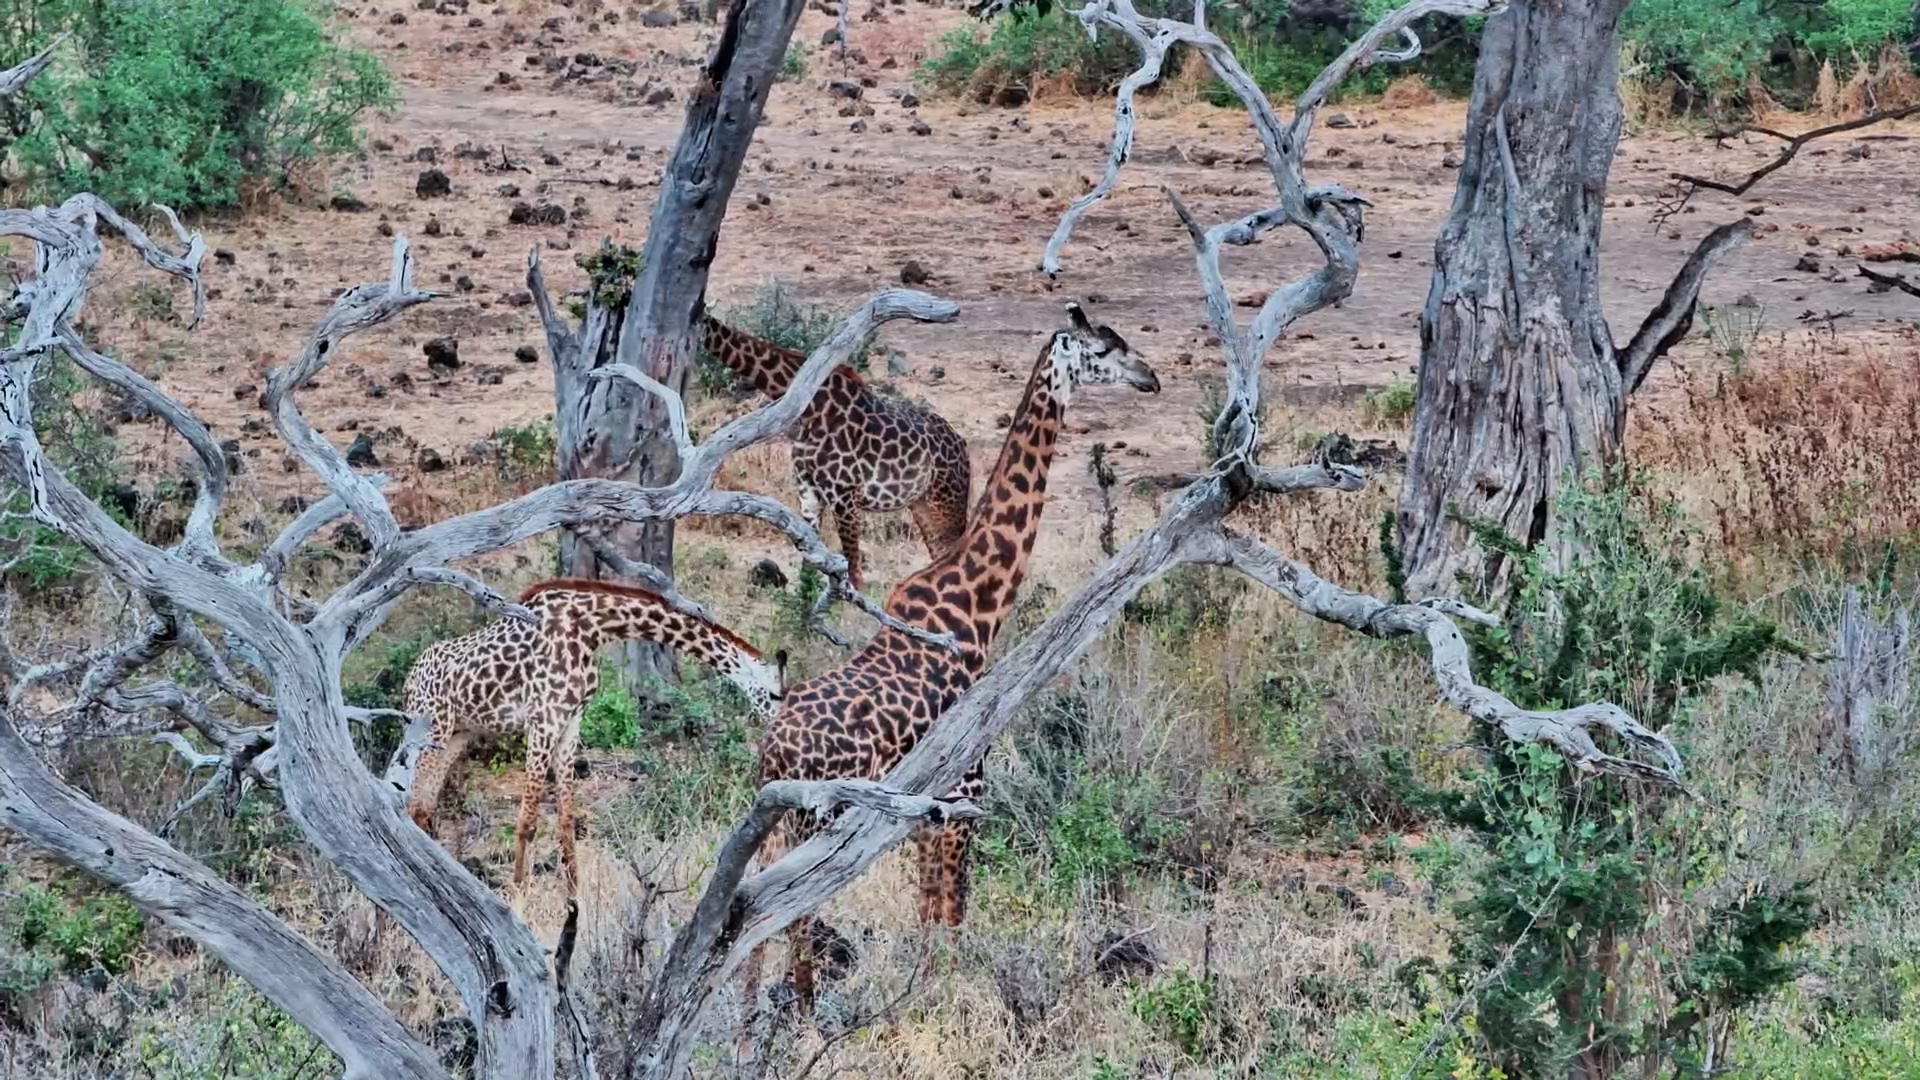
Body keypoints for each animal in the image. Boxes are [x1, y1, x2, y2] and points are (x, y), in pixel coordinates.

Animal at [401, 578, 786, 889]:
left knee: (422, 807)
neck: (590, 628)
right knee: (411, 804)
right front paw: (518, 897)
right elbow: (527, 821)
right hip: (432, 727)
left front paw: (575, 901)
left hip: (457, 734)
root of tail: (409, 680)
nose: (777, 725)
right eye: (774, 694)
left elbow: (566, 822)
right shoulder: (543, 719)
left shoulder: (571, 721)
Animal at [698, 309, 972, 590]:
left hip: (947, 500)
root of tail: (962, 444)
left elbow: (853, 574)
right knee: (938, 553)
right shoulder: (808, 493)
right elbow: (808, 569)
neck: (811, 411)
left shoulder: (844, 496)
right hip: (921, 503)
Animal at [743, 302, 1160, 1012]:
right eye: (1106, 348)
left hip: (777, 819)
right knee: (788, 917)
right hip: (811, 819)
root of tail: (774, 749)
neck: (977, 603)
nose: (1151, 379)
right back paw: (800, 1009)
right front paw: (940, 998)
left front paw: (921, 992)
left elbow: (927, 907)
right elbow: (951, 910)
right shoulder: (964, 791)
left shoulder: (926, 811)